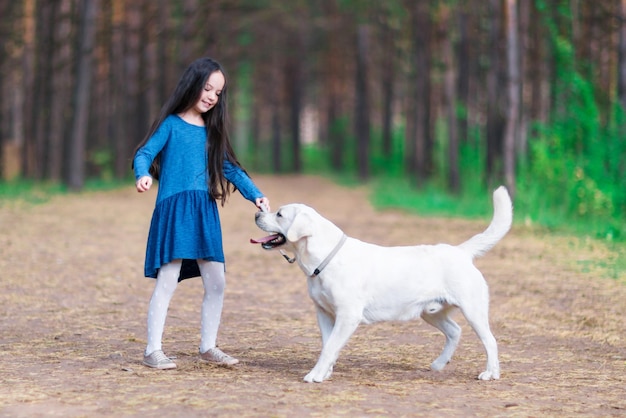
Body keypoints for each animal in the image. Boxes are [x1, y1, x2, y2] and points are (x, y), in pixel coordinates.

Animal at [250, 188, 512, 384]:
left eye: (280, 214)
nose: (256, 214)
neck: (325, 259)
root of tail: (461, 251)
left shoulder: (348, 316)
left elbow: (330, 346)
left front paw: (315, 375)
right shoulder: (323, 313)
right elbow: (328, 345)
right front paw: (326, 372)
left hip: (473, 310)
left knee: (490, 341)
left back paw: (491, 373)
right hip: (431, 312)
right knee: (455, 331)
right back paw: (439, 364)